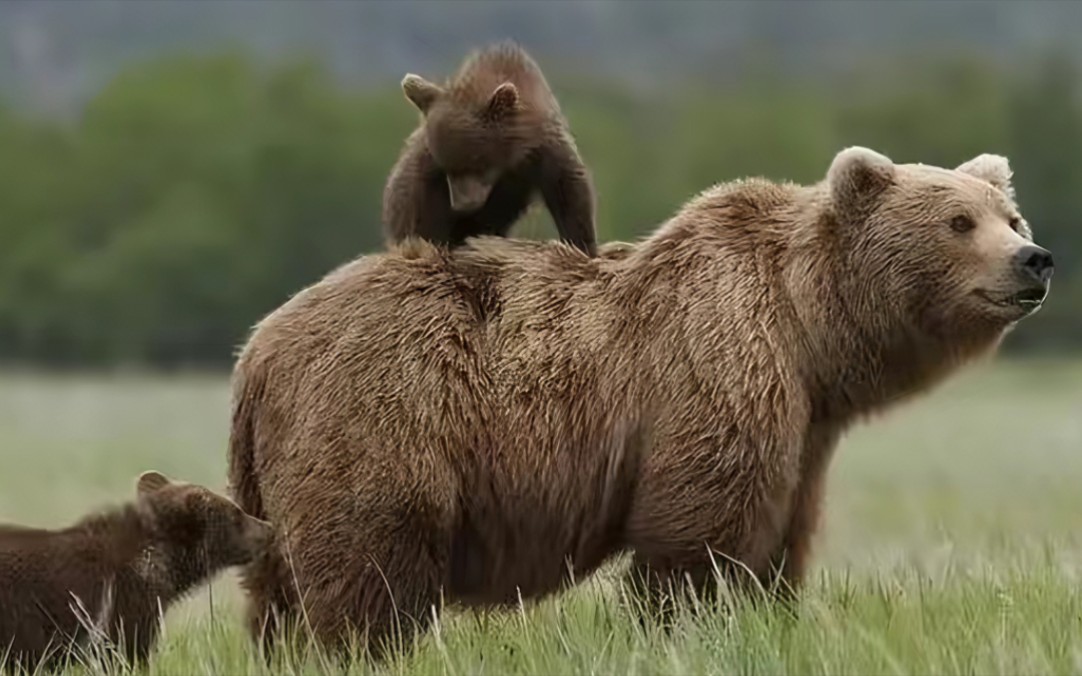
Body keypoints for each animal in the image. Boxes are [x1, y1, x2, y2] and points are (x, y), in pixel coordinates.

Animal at [226, 146, 1047, 653]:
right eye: (958, 221)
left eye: (1010, 217)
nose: (1033, 260)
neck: (808, 332)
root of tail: (257, 348)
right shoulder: (715, 366)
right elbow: (696, 538)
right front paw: (685, 627)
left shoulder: (804, 428)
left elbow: (781, 539)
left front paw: (770, 617)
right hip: (383, 417)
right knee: (368, 578)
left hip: (279, 470)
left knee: (277, 593)